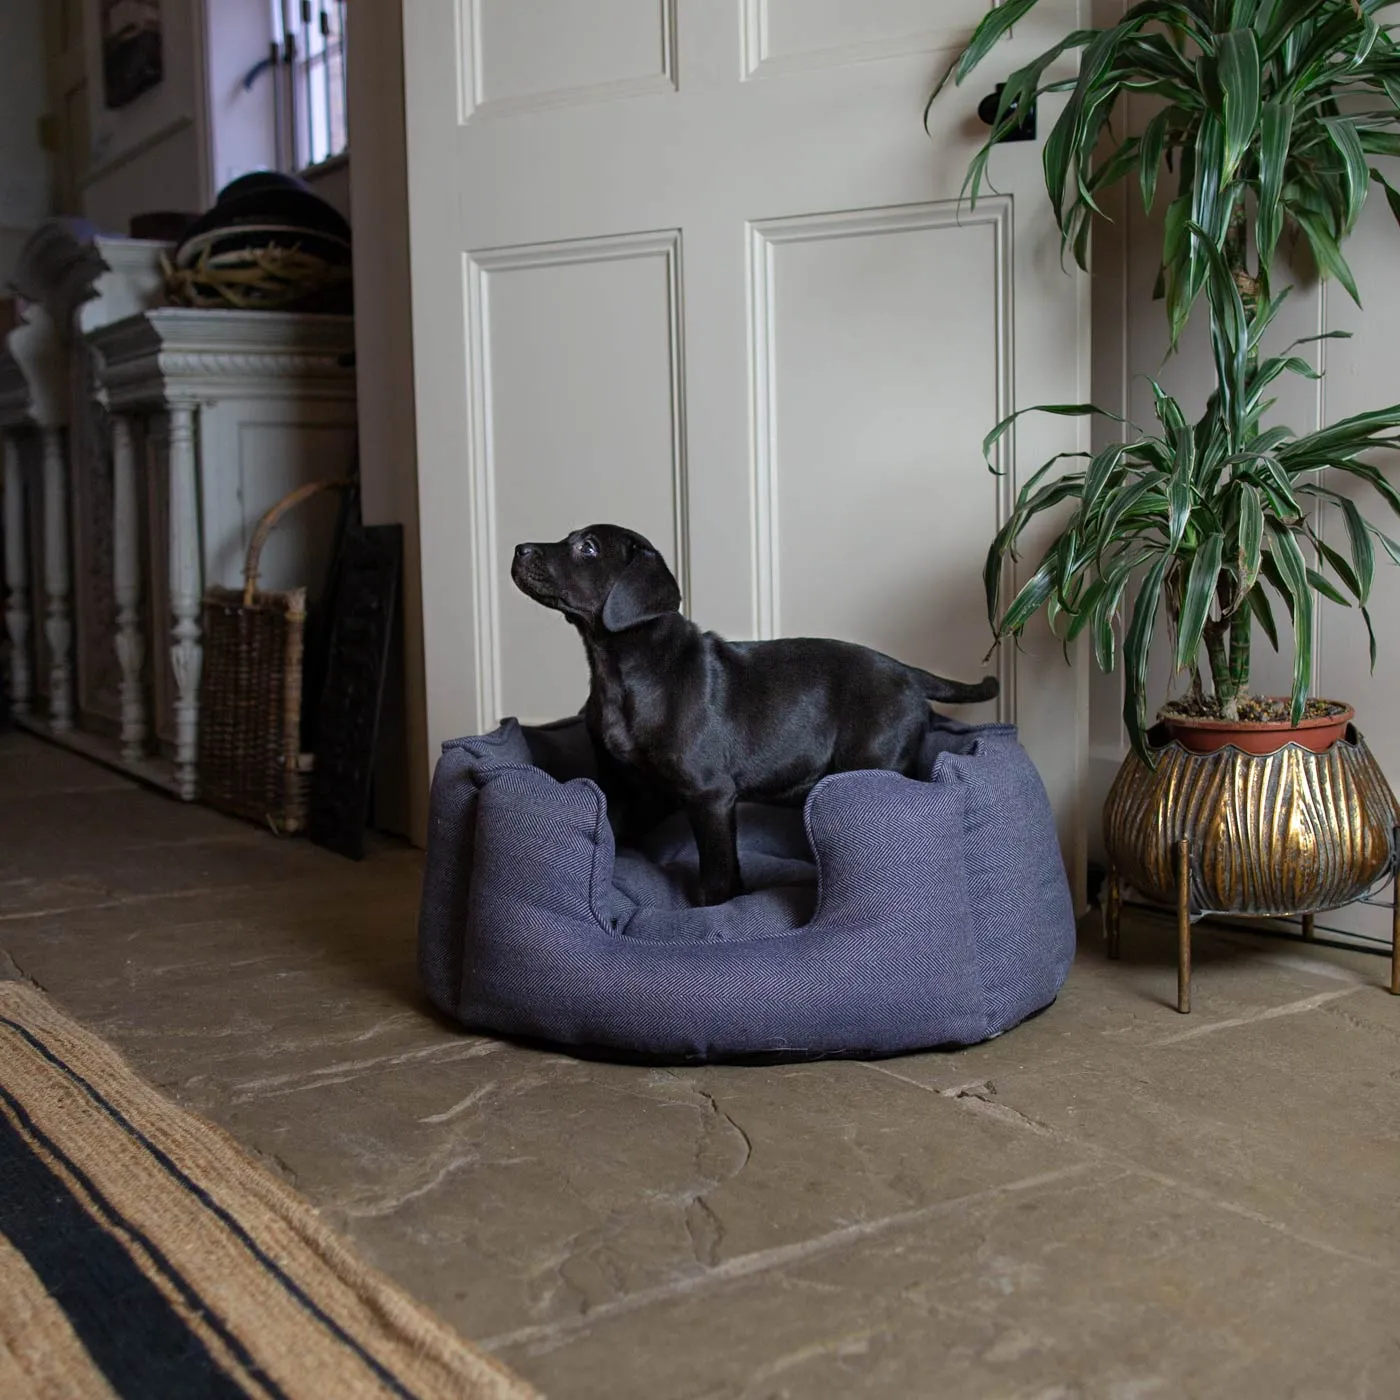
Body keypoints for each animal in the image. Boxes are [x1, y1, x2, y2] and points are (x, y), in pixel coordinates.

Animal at [512, 526, 996, 907]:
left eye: (588, 548)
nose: (518, 548)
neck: (618, 667)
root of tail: (910, 672)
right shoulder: (621, 782)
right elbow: (614, 826)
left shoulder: (710, 794)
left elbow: (718, 872)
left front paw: (716, 909)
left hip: (871, 761)